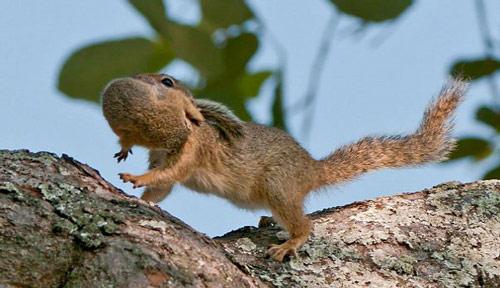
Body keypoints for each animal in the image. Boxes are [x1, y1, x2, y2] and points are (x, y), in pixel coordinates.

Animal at [100, 73, 464, 262]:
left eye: (167, 82)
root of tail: (311, 170)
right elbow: (162, 187)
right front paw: (144, 197)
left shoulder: (195, 149)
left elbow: (170, 174)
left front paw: (135, 177)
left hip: (278, 185)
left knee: (304, 224)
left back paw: (291, 241)